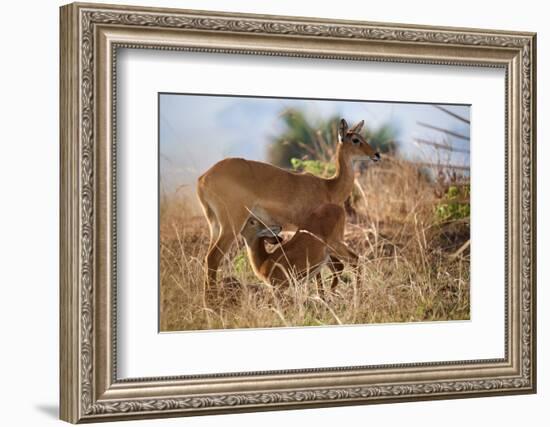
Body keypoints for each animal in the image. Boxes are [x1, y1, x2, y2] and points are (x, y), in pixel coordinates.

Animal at [198, 118, 384, 300]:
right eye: (356, 139)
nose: (376, 154)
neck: (328, 186)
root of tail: (202, 179)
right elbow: (321, 270)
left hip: (215, 226)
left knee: (208, 259)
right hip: (232, 226)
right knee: (213, 258)